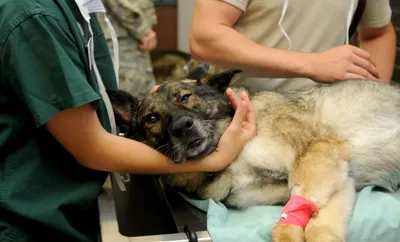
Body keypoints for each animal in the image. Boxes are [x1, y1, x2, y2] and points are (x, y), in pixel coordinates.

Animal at [106, 69, 400, 241]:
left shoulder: (319, 152)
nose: (182, 127)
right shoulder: (338, 179)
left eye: (186, 96)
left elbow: (301, 216)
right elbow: (317, 222)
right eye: (151, 118)